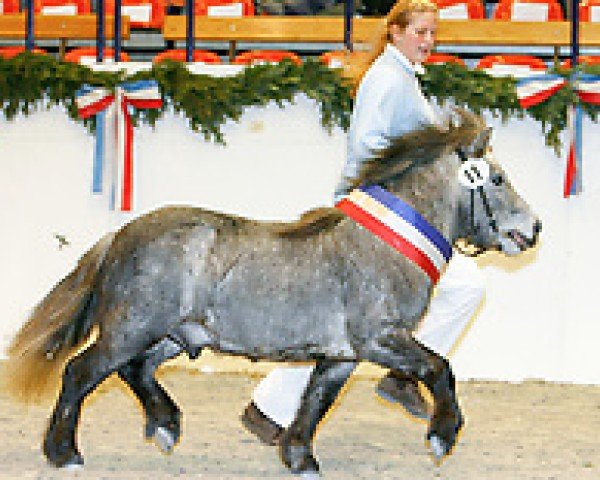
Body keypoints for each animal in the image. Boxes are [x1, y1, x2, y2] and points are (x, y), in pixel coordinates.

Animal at [3, 109, 540, 476]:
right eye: (497, 178)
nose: (533, 228)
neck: (382, 245)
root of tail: (120, 235)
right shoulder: (380, 339)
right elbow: (440, 368)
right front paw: (442, 436)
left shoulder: (342, 355)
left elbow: (316, 402)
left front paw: (299, 457)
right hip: (130, 328)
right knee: (81, 372)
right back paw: (65, 452)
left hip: (172, 335)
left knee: (134, 371)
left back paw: (166, 426)